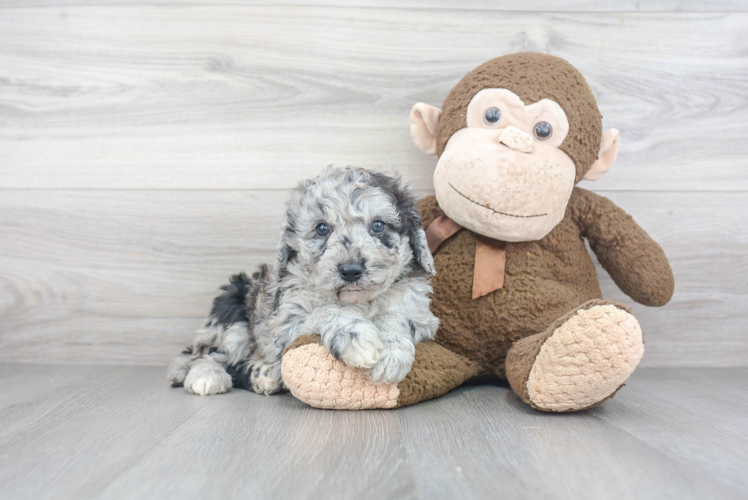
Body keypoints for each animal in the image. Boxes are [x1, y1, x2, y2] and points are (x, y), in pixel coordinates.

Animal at [168, 166, 438, 396]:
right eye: (322, 228)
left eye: (378, 225)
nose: (350, 270)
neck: (358, 301)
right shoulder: (285, 322)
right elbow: (327, 311)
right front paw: (356, 337)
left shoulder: (421, 316)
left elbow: (396, 317)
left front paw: (390, 355)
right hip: (231, 312)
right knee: (208, 354)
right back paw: (210, 376)